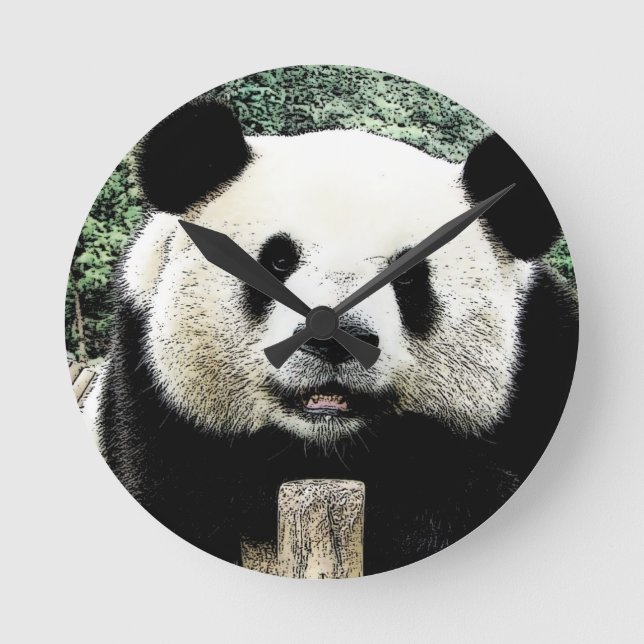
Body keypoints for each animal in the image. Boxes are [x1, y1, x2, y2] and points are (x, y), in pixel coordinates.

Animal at [86, 100, 578, 575]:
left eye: (408, 277)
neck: (328, 447)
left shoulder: (545, 358)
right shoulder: (148, 401)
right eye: (277, 261)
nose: (334, 341)